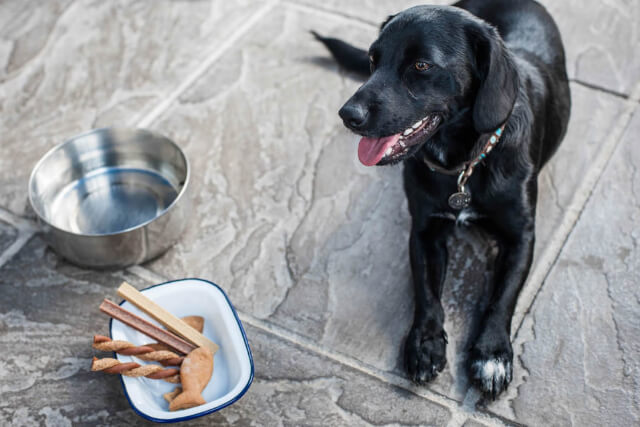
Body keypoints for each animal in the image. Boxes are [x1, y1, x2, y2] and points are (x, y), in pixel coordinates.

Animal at [316, 0, 568, 400]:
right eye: (373, 59)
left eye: (421, 66)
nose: (348, 115)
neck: (463, 164)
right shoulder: (425, 231)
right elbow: (426, 291)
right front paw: (425, 343)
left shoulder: (521, 237)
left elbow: (502, 297)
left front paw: (492, 354)